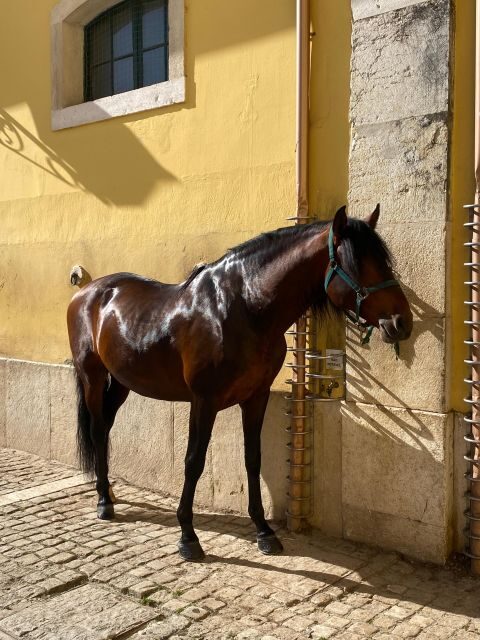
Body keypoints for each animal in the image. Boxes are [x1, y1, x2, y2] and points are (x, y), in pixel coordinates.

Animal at [67, 205, 413, 561]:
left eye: (383, 260)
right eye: (358, 263)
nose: (401, 322)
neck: (243, 310)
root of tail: (87, 292)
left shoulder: (256, 396)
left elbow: (253, 458)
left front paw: (264, 531)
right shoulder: (203, 400)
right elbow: (194, 461)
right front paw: (188, 536)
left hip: (121, 381)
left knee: (105, 428)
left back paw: (109, 492)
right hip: (92, 375)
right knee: (97, 430)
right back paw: (103, 502)